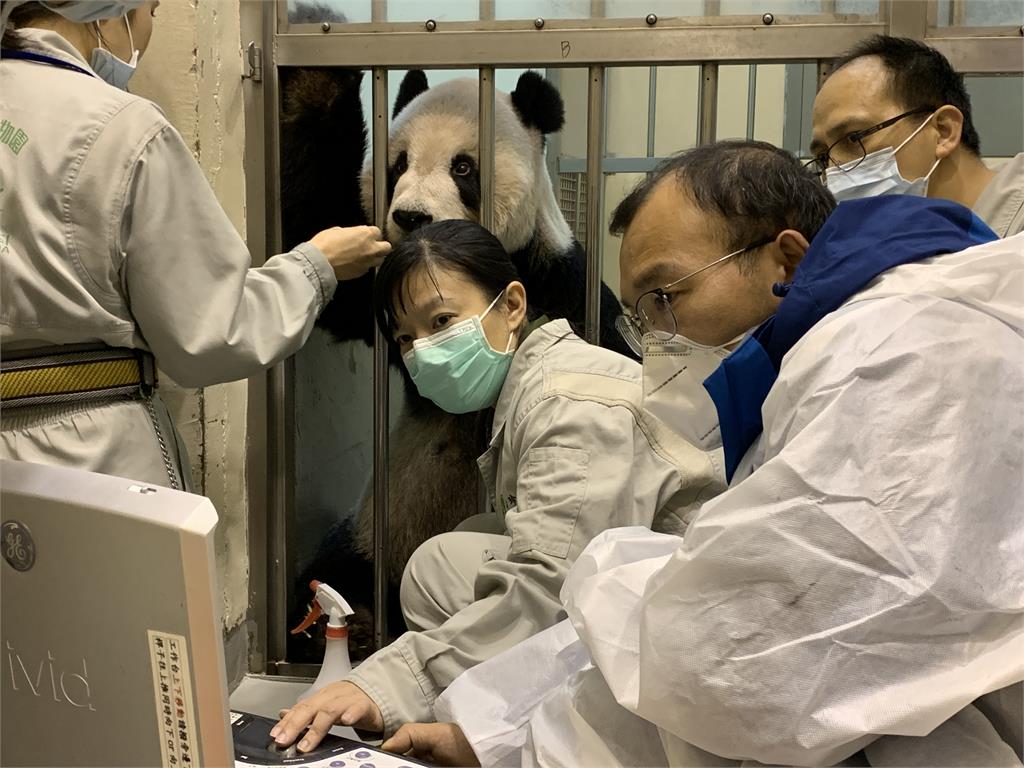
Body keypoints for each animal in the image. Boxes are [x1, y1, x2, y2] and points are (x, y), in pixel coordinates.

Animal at [284, 54, 626, 663]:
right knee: (332, 571)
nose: (411, 217)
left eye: (463, 167)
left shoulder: (561, 281)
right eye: (397, 164)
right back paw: (350, 622)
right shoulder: (379, 293)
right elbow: (313, 220)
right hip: (376, 525)